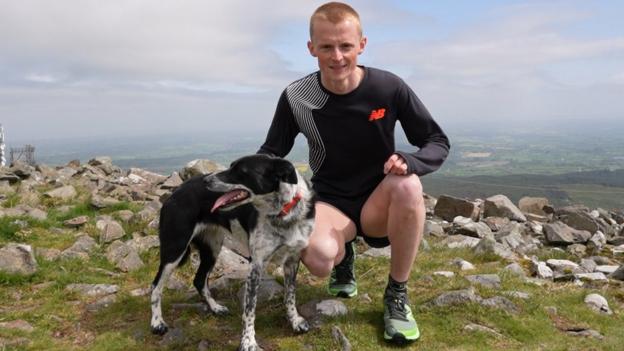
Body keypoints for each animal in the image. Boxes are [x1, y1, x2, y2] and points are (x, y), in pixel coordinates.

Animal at [149, 155, 314, 350]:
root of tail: (175, 192)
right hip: (175, 248)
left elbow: (290, 295)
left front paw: (295, 321)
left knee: (199, 280)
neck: (283, 213)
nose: (206, 180)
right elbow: (249, 311)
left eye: (241, 171)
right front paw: (248, 341)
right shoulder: (256, 266)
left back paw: (215, 307)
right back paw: (157, 323)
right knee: (156, 286)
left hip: (212, 249)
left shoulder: (292, 261)